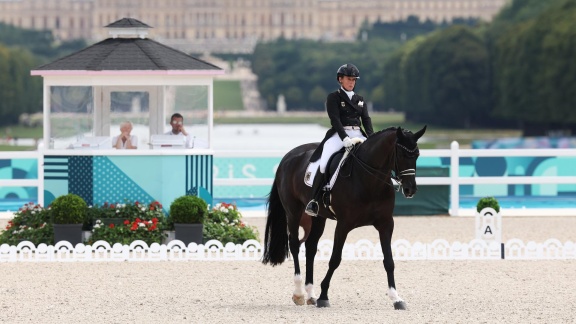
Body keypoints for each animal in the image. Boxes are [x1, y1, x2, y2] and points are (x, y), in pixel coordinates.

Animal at [264, 125, 426, 310]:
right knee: (295, 245)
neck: (369, 180)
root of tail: (288, 156)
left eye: (417, 154)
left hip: (318, 217)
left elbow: (389, 261)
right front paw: (324, 296)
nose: (410, 189)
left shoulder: (385, 224)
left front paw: (396, 298)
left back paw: (311, 295)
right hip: (293, 212)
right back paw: (299, 294)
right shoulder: (343, 224)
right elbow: (335, 259)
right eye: (401, 154)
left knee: (311, 247)